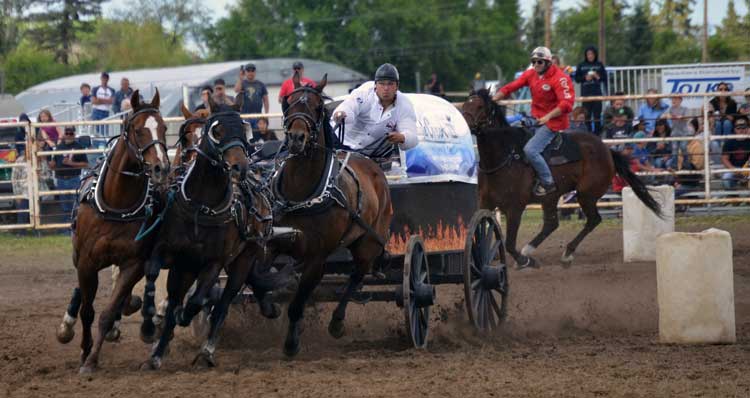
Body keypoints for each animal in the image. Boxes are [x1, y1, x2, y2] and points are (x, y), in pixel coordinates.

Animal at [56, 90, 173, 374]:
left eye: (164, 128)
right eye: (138, 130)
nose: (161, 168)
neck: (116, 203)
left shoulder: (133, 263)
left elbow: (108, 312)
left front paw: (92, 359)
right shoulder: (87, 262)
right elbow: (88, 311)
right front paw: (85, 352)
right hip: (80, 258)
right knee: (81, 294)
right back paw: (66, 327)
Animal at [140, 96, 278, 370]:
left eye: (243, 129)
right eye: (217, 130)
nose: (238, 167)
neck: (201, 205)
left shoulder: (214, 262)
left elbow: (196, 301)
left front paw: (184, 316)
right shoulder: (170, 254)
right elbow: (154, 277)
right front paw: (154, 333)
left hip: (243, 260)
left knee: (223, 303)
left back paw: (206, 350)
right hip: (190, 267)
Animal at [274, 72, 394, 358]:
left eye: (318, 107)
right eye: (288, 102)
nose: (296, 138)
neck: (302, 192)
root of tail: (373, 165)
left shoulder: (317, 258)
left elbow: (298, 302)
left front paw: (292, 343)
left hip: (369, 242)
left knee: (356, 276)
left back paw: (337, 322)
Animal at [458, 89, 664, 268]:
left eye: (479, 106)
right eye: (465, 104)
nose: (462, 124)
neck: (504, 156)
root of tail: (607, 150)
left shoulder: (515, 207)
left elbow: (508, 243)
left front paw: (525, 262)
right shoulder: (485, 203)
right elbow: (477, 235)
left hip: (585, 195)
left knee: (593, 220)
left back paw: (565, 254)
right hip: (552, 197)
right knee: (552, 224)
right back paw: (530, 249)